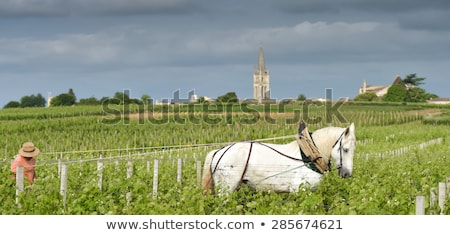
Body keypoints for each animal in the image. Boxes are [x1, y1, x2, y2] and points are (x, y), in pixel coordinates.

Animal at [203, 121, 356, 195]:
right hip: (226, 189)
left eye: (354, 149)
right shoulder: (300, 190)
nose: (347, 174)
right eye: (345, 149)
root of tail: (220, 151)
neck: (308, 157)